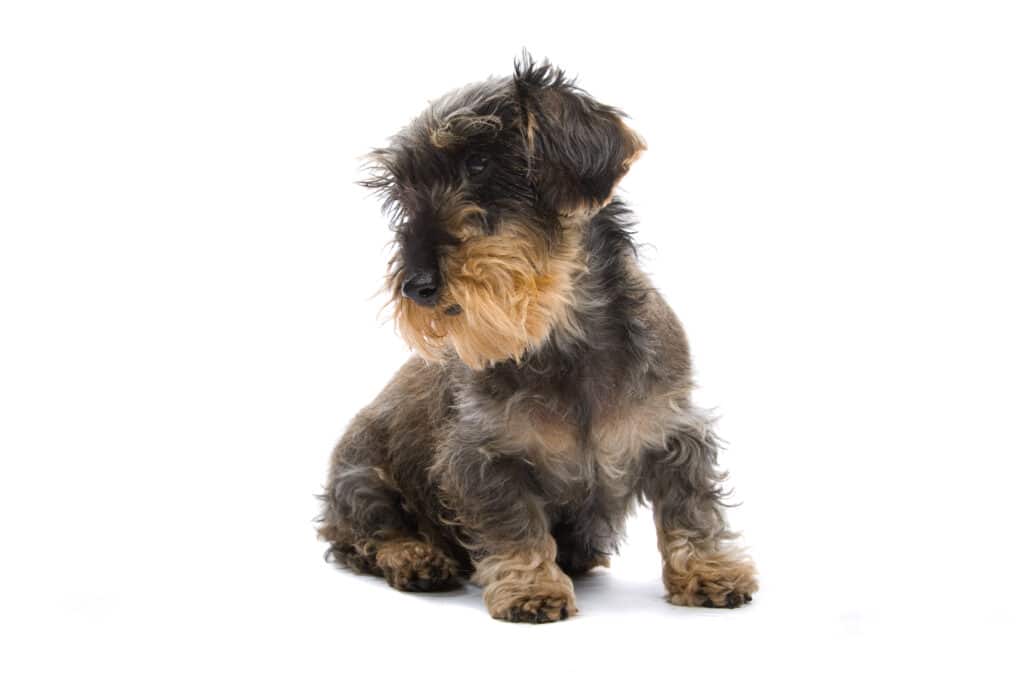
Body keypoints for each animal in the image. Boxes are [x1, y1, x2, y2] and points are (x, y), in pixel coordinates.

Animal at [319, 56, 761, 622]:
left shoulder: (675, 431)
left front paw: (708, 571)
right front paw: (531, 586)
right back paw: (417, 556)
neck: (563, 335)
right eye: (403, 192)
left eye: (480, 163)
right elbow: (514, 524)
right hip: (360, 477)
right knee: (362, 536)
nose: (416, 285)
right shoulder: (482, 457)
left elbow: (691, 510)